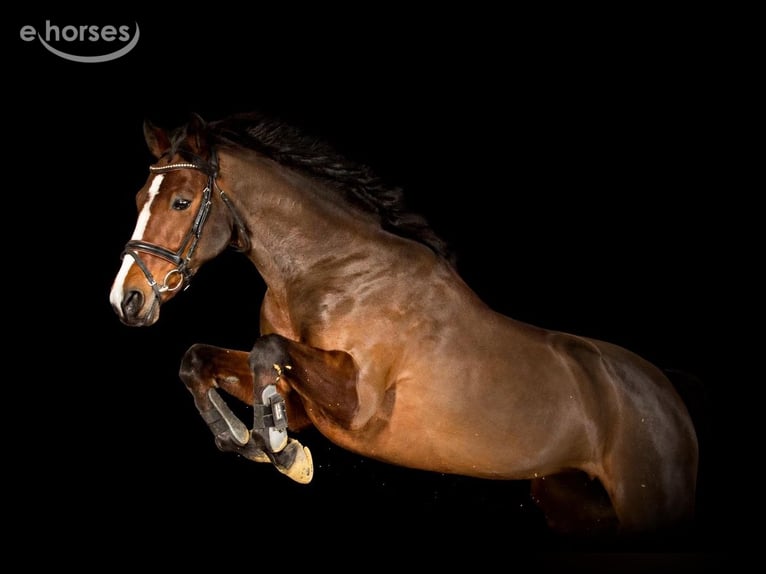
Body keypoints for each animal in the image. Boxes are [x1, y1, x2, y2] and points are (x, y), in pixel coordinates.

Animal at [109, 112, 698, 539]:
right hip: (572, 501)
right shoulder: (304, 404)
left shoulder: (358, 405)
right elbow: (199, 360)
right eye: (138, 199)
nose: (127, 300)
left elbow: (265, 349)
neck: (335, 270)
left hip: (647, 505)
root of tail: (672, 403)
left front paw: (281, 451)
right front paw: (248, 439)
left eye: (181, 201)